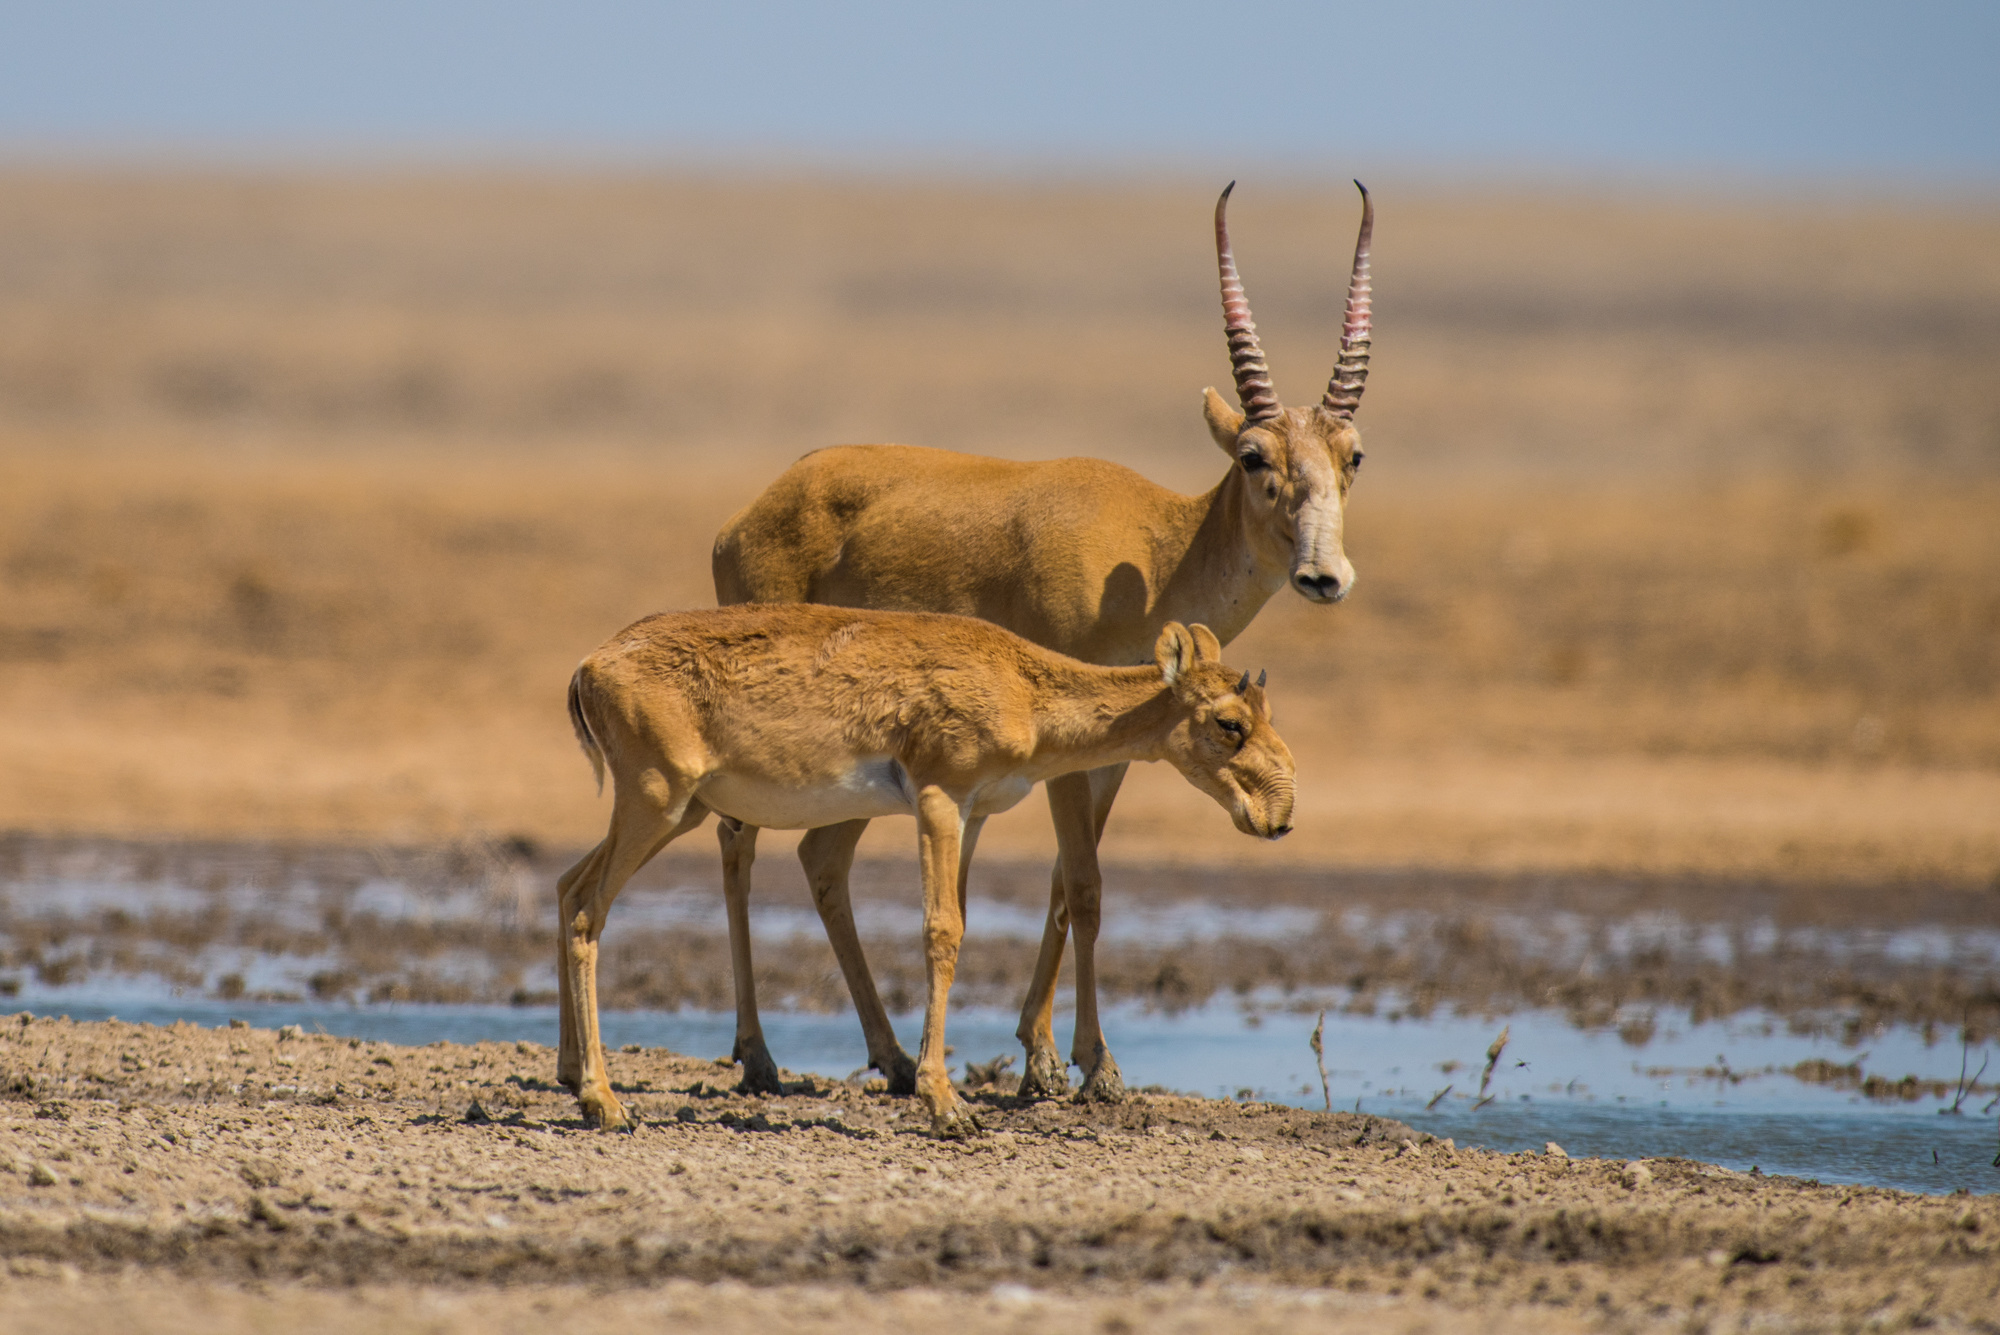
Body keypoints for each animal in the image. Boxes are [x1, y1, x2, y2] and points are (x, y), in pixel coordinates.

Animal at [556, 603, 1296, 1135]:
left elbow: (958, 924)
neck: (1021, 686)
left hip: (677, 810)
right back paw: (605, 1103)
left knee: (568, 887)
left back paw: (570, 1073)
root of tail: (589, 665)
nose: (1279, 816)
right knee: (591, 910)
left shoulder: (971, 815)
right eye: (1230, 721)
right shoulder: (940, 799)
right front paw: (947, 1107)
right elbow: (943, 932)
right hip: (656, 801)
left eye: (1266, 710)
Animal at [712, 184, 1384, 1103]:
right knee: (739, 841)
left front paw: (1040, 1057)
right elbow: (1088, 886)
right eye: (1253, 454)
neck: (1155, 550)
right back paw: (760, 1055)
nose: (1324, 575)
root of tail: (743, 521)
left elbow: (1068, 884)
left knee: (821, 859)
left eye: (1353, 455)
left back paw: (892, 1059)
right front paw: (1094, 1065)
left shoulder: (1107, 755)